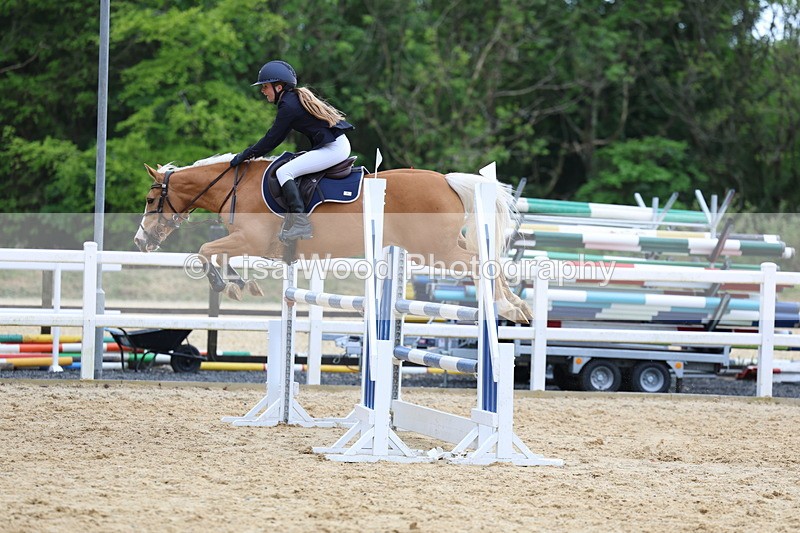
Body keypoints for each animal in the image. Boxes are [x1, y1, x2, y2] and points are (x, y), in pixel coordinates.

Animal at [134, 154, 533, 323]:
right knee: (486, 258)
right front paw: (240, 284)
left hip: (434, 250)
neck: (236, 187)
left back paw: (505, 306)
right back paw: (518, 305)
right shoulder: (247, 243)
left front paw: (226, 285)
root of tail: (446, 180)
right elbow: (218, 254)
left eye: (151, 201)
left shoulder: (251, 240)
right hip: (445, 245)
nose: (140, 241)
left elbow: (205, 250)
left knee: (480, 263)